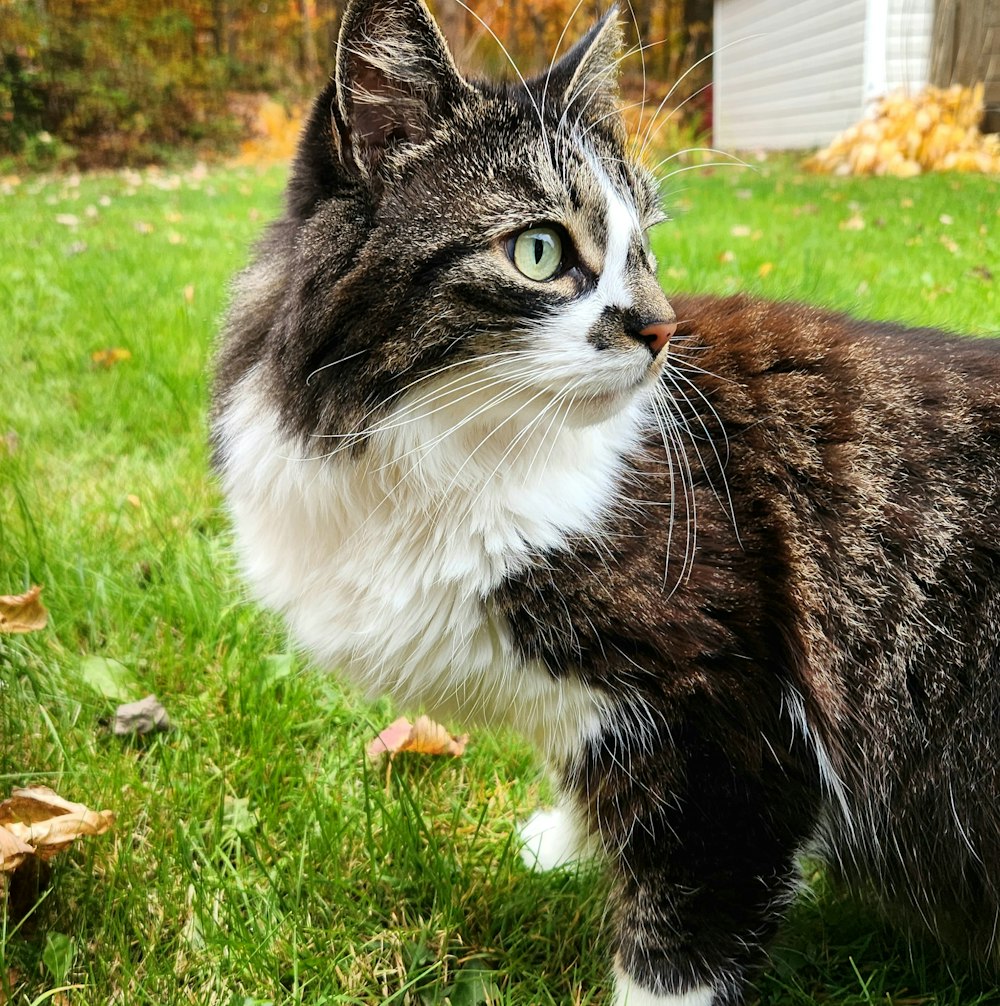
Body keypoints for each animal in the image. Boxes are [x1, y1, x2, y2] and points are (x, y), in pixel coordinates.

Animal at [214, 1, 997, 1006]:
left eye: (645, 248)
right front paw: (565, 838)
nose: (662, 328)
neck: (457, 455)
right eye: (540, 251)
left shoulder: (730, 746)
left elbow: (672, 946)